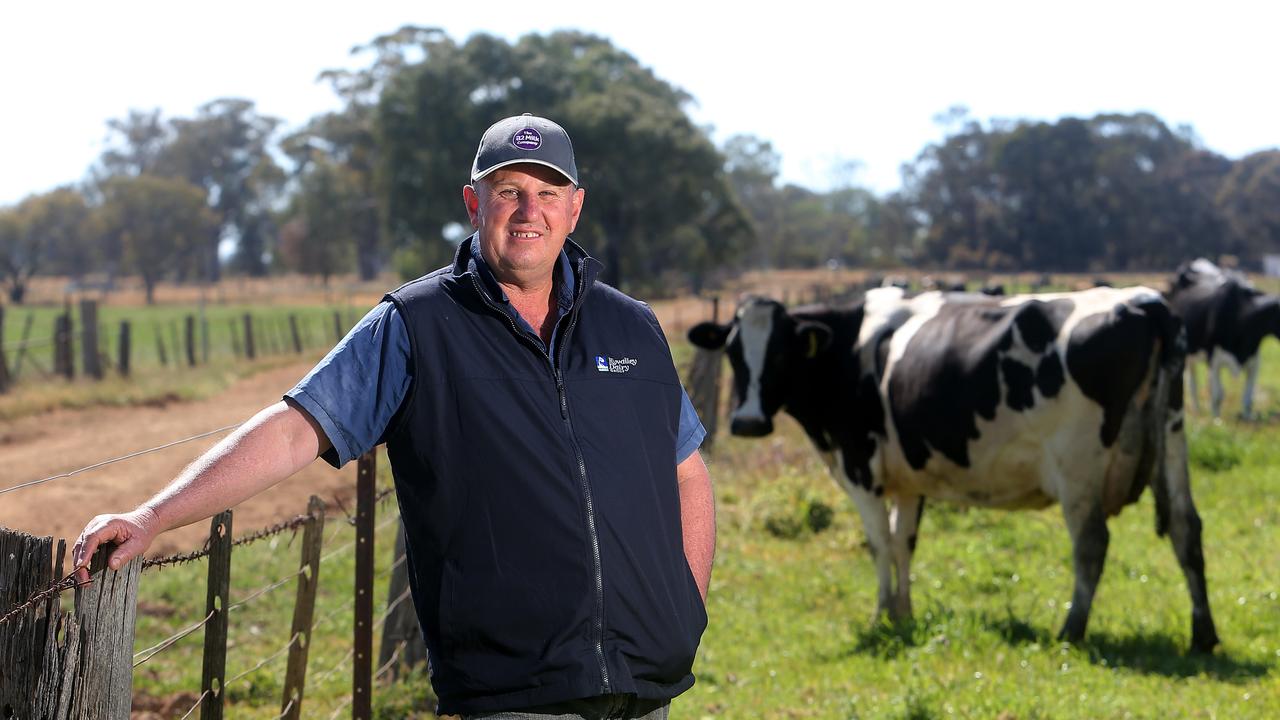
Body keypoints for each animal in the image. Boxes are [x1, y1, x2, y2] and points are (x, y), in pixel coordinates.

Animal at [691, 284, 1218, 650]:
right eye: (733, 352)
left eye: (780, 352)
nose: (747, 421)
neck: (848, 347)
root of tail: (1145, 301)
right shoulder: (908, 478)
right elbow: (904, 543)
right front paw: (904, 613)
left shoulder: (861, 467)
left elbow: (879, 545)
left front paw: (880, 616)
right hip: (1172, 439)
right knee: (1186, 528)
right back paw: (1203, 633)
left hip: (1077, 467)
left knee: (1092, 543)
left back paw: (1071, 628)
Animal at [1167, 256, 1274, 415]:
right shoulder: (1214, 358)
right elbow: (1218, 394)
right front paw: (1216, 418)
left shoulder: (1254, 359)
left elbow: (1248, 397)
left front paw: (1247, 417)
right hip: (1188, 353)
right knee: (1193, 383)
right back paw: (1196, 409)